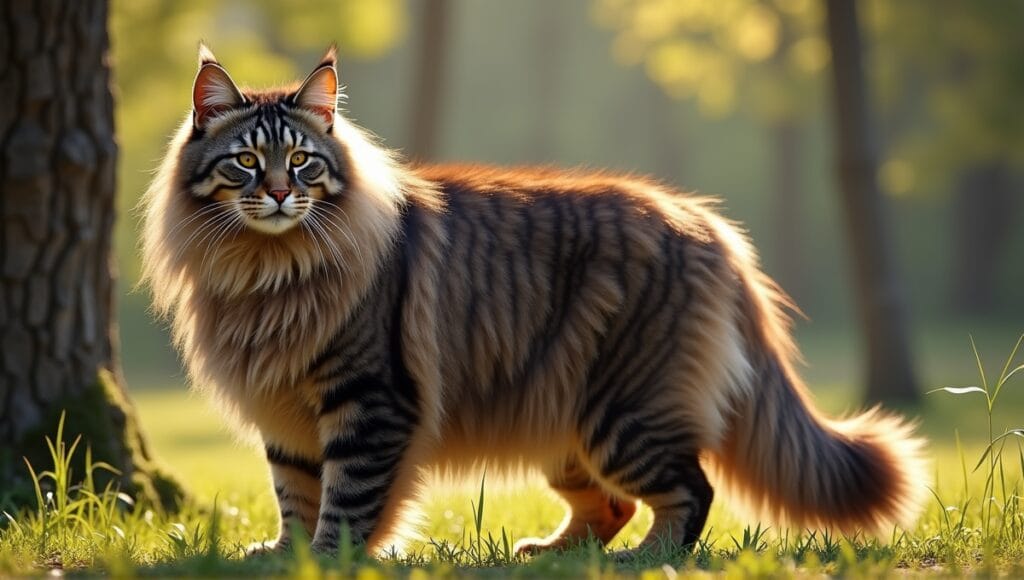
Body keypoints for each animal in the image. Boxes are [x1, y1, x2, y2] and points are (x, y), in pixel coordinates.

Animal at [140, 46, 933, 557]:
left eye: (302, 162)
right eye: (247, 161)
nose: (278, 193)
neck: (267, 271)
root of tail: (704, 222)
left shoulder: (368, 401)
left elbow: (347, 500)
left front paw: (331, 559)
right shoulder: (285, 412)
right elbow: (294, 495)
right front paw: (287, 554)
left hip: (624, 412)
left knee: (689, 492)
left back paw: (643, 559)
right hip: (566, 427)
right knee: (611, 504)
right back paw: (555, 552)